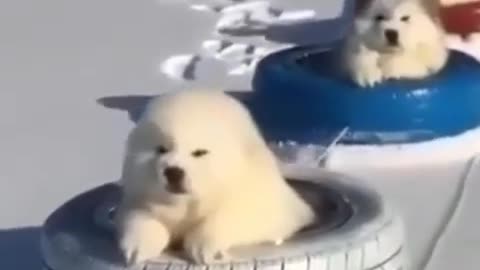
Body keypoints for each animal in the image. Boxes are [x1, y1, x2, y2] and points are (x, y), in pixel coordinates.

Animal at [114, 89, 314, 264]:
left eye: (199, 152)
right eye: (161, 149)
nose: (173, 172)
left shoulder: (256, 196)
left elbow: (236, 217)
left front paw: (205, 249)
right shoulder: (138, 195)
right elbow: (138, 216)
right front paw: (136, 249)